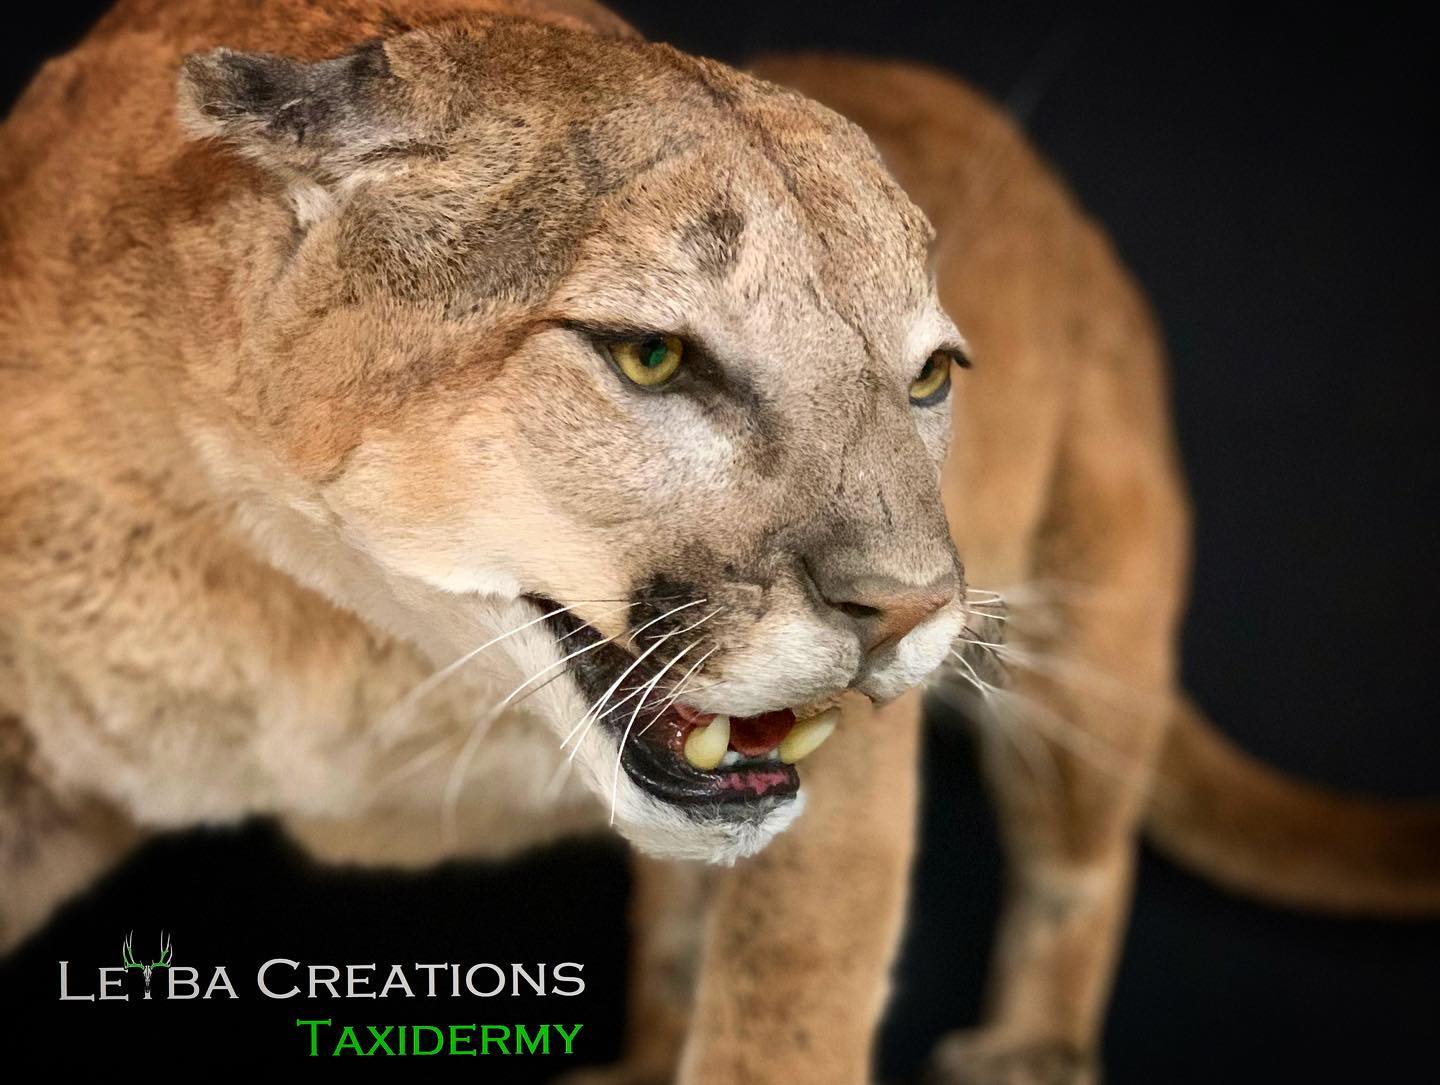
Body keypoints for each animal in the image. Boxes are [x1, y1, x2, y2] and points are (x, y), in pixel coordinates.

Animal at [1, 2, 1435, 1083]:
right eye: (652, 356)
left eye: (929, 377)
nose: (915, 607)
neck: (336, 617)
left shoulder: (846, 786)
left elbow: (786, 1001)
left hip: (1099, 630)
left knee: (1083, 853)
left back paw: (1031, 1049)